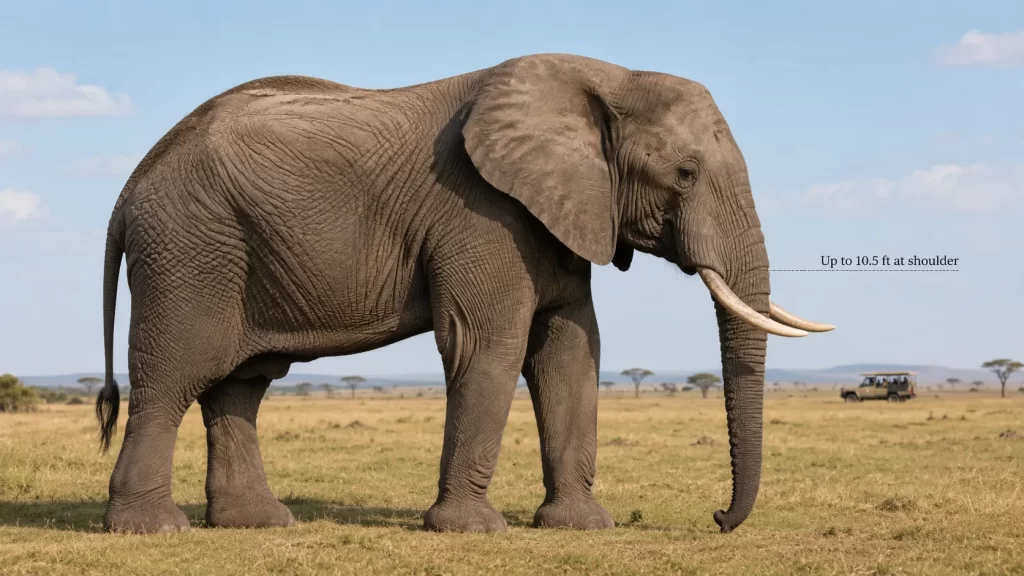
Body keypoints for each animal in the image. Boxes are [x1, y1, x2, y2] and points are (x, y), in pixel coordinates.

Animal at [94, 53, 833, 535]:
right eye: (684, 174)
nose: (718, 517)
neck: (604, 80)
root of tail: (130, 188)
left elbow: (571, 351)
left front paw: (580, 527)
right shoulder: (481, 212)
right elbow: (489, 344)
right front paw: (470, 530)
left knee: (240, 386)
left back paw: (259, 524)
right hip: (188, 250)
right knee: (174, 377)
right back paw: (153, 531)